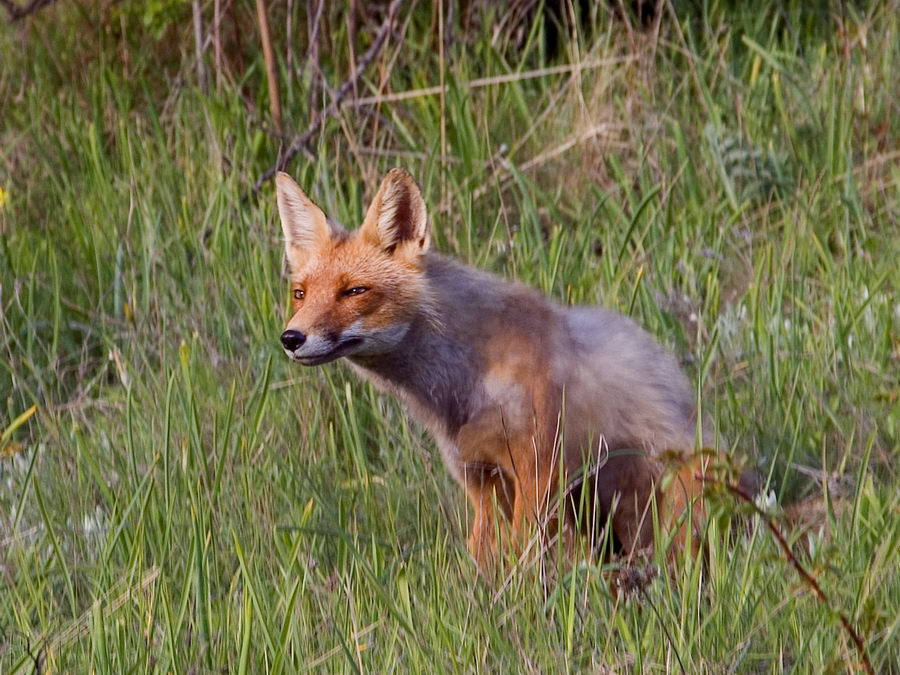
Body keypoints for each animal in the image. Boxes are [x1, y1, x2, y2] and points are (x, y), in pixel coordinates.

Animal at [275, 168, 720, 569]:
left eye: (354, 291)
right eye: (300, 294)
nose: (291, 338)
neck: (467, 382)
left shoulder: (539, 471)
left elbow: (527, 557)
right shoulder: (481, 479)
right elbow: (484, 559)